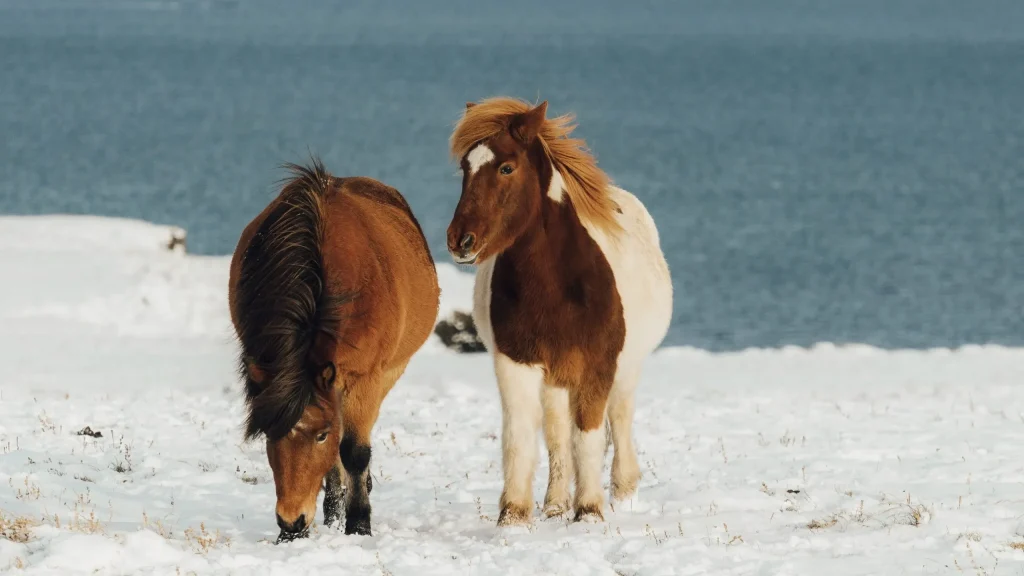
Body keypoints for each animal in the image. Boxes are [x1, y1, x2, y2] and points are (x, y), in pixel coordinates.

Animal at [228, 158, 439, 540]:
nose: (291, 521)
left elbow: (354, 451)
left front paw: (358, 524)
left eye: (321, 435)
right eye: (269, 434)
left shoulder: (363, 378)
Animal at [445, 98, 673, 525]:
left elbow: (589, 435)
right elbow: (521, 437)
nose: (460, 241)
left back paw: (623, 493)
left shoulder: (598, 366)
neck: (556, 288)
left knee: (619, 419)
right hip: (555, 379)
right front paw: (514, 516)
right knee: (556, 435)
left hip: (626, 367)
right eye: (465, 168)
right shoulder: (517, 362)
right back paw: (554, 504)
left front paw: (590, 511)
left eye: (506, 167)